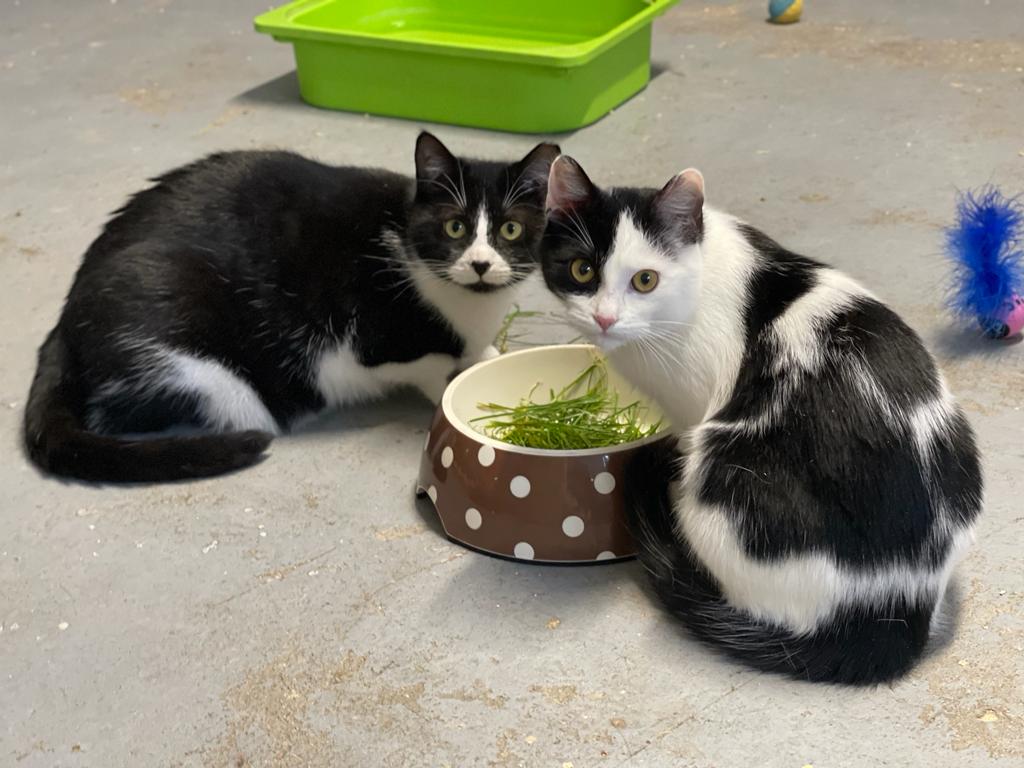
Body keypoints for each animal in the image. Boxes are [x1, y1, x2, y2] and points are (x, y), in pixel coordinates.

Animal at [24, 133, 559, 483]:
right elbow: (424, 364)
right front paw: (450, 385)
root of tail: (62, 324)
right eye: (454, 227)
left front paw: (485, 358)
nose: (481, 264)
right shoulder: (364, 338)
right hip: (198, 354)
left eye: (510, 229)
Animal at [540, 155, 983, 685]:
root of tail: (898, 607)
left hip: (720, 477)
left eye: (645, 280)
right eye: (581, 269)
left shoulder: (691, 408)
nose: (604, 319)